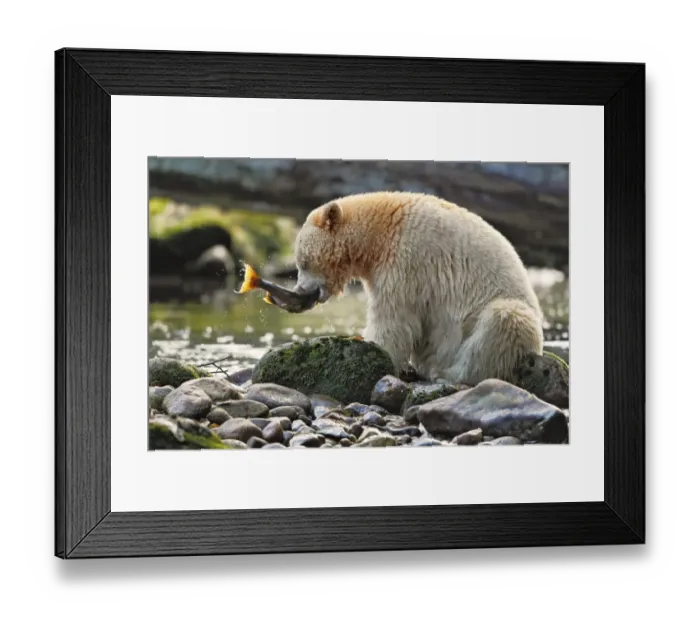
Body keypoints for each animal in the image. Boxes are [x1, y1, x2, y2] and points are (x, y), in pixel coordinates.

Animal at [293, 191, 544, 386]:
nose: (300, 291)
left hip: (501, 313)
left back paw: (447, 373)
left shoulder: (406, 259)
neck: (380, 231)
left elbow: (394, 318)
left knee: (504, 321)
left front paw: (374, 347)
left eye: (303, 262)